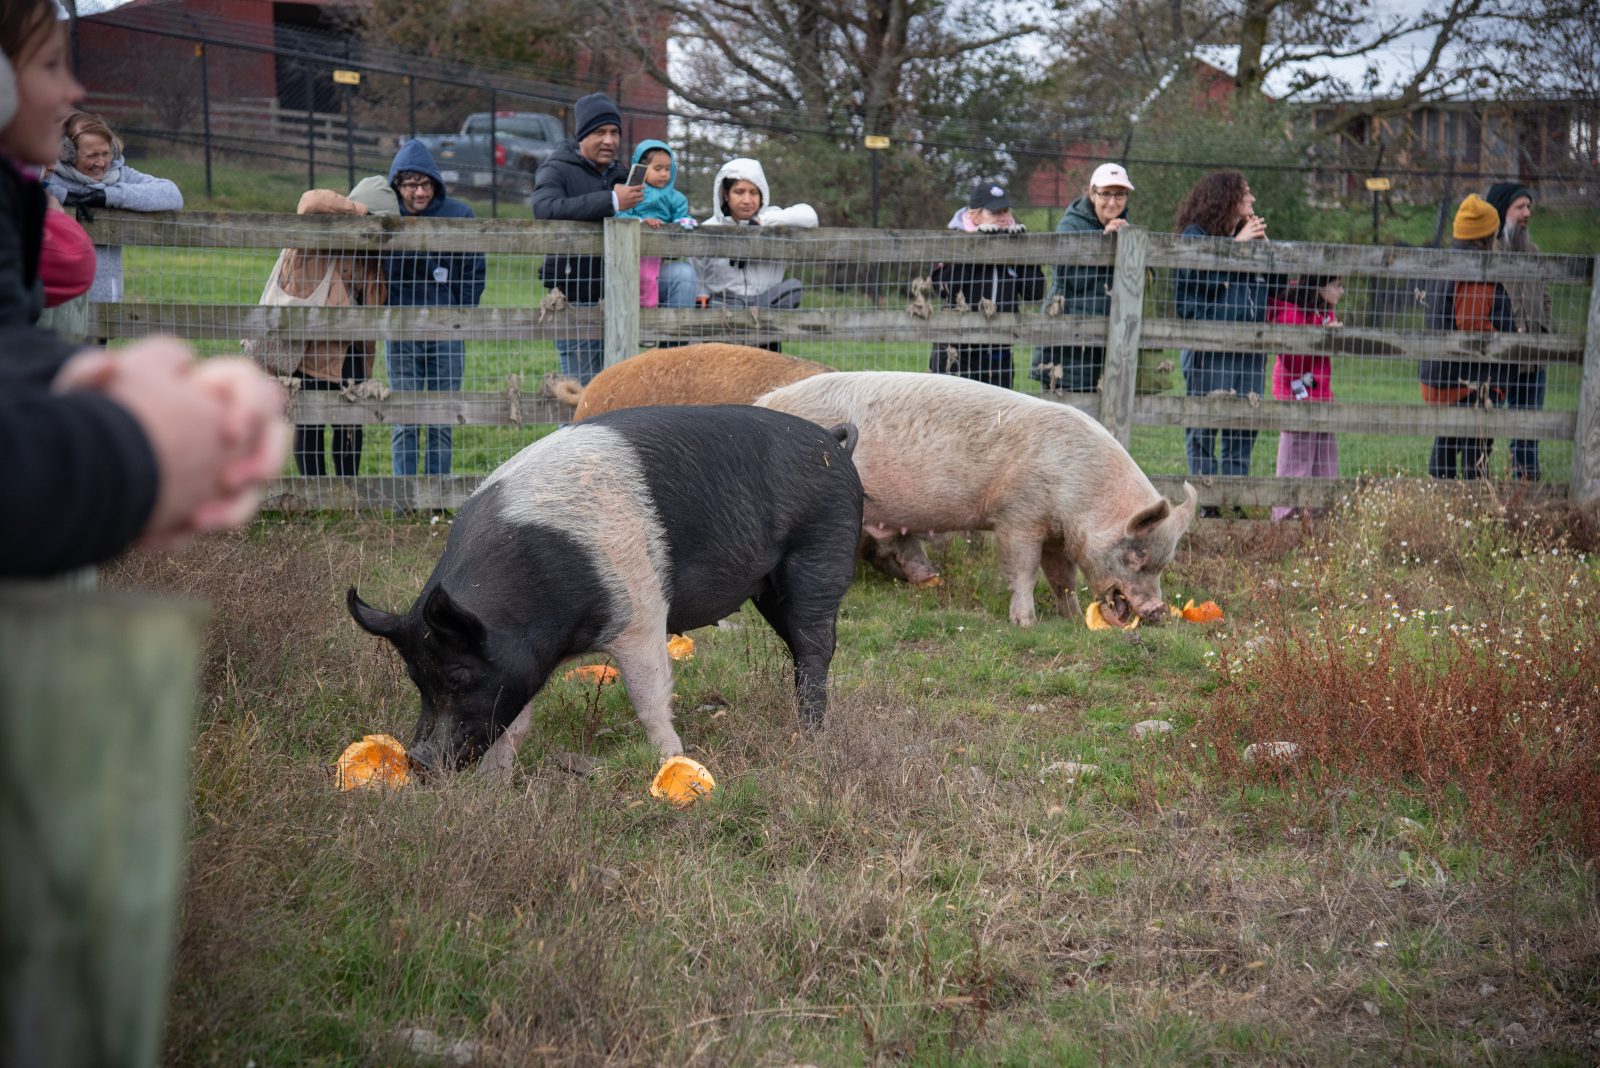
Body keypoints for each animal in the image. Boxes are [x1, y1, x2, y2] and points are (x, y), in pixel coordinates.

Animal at [347, 404, 864, 773]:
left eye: (457, 676)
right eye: (416, 678)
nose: (419, 760)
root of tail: (833, 444)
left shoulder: (642, 612)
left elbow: (650, 699)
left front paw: (675, 761)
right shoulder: (525, 660)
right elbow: (515, 723)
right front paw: (495, 786)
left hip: (822, 552)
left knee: (816, 648)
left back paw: (810, 735)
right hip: (768, 587)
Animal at [756, 371, 1196, 628]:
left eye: (1164, 563)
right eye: (1136, 554)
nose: (1157, 611)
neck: (1081, 494)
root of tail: (764, 402)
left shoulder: (1058, 534)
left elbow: (1063, 579)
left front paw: (1070, 618)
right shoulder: (1017, 515)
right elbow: (1023, 570)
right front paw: (1025, 624)